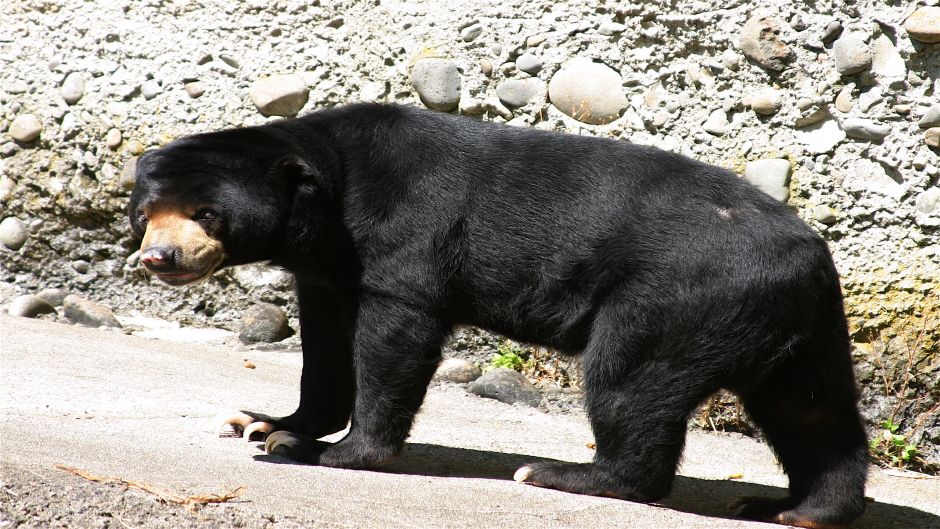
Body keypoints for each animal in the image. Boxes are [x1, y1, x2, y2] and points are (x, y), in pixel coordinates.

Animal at [129, 103, 872, 528]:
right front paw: (263, 421)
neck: (330, 196)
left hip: (677, 299)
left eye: (207, 214)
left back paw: (565, 475)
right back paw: (795, 509)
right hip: (792, 326)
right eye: (146, 213)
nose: (159, 256)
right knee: (814, 412)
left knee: (630, 381)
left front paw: (325, 451)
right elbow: (326, 351)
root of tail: (808, 254)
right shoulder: (324, 270)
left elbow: (395, 336)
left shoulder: (406, 236)